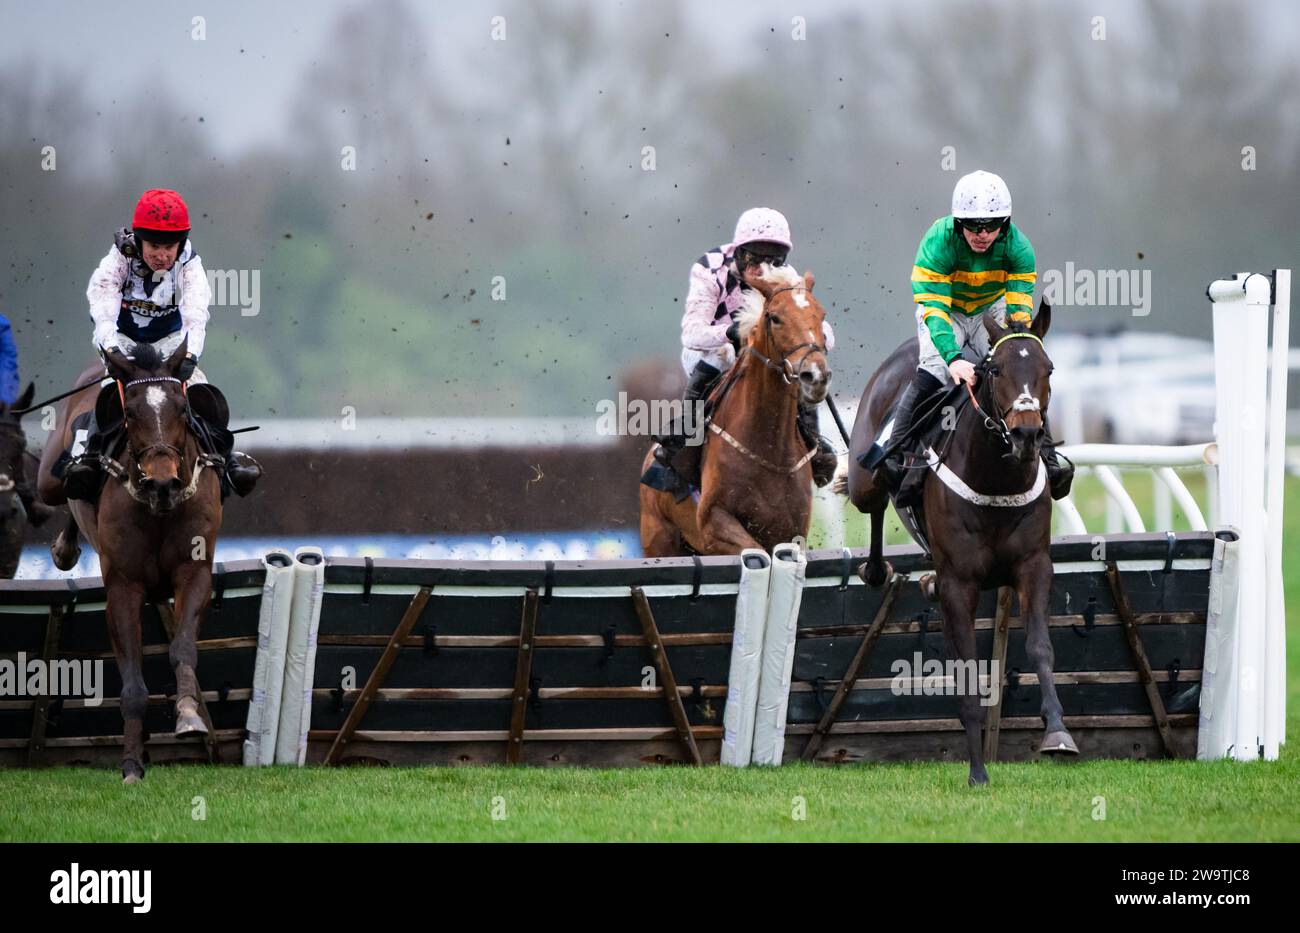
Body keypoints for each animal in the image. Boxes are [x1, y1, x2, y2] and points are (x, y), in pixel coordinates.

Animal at [35, 340, 223, 784]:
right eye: (131, 411)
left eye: (182, 408)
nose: (163, 482)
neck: (159, 509)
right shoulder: (123, 586)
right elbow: (133, 684)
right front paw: (132, 764)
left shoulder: (194, 573)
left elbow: (182, 648)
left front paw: (189, 715)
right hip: (49, 478)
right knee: (60, 488)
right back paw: (64, 546)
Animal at [639, 266, 832, 558]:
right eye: (774, 317)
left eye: (821, 315)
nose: (816, 376)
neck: (768, 445)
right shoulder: (712, 523)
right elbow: (754, 553)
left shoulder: (788, 530)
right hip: (661, 540)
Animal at [842, 302, 1076, 784]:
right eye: (997, 370)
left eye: (1048, 368)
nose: (1027, 435)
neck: (995, 478)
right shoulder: (960, 581)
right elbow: (966, 666)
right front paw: (977, 771)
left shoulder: (1033, 565)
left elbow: (1040, 647)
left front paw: (1057, 732)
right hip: (864, 480)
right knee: (872, 503)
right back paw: (875, 566)